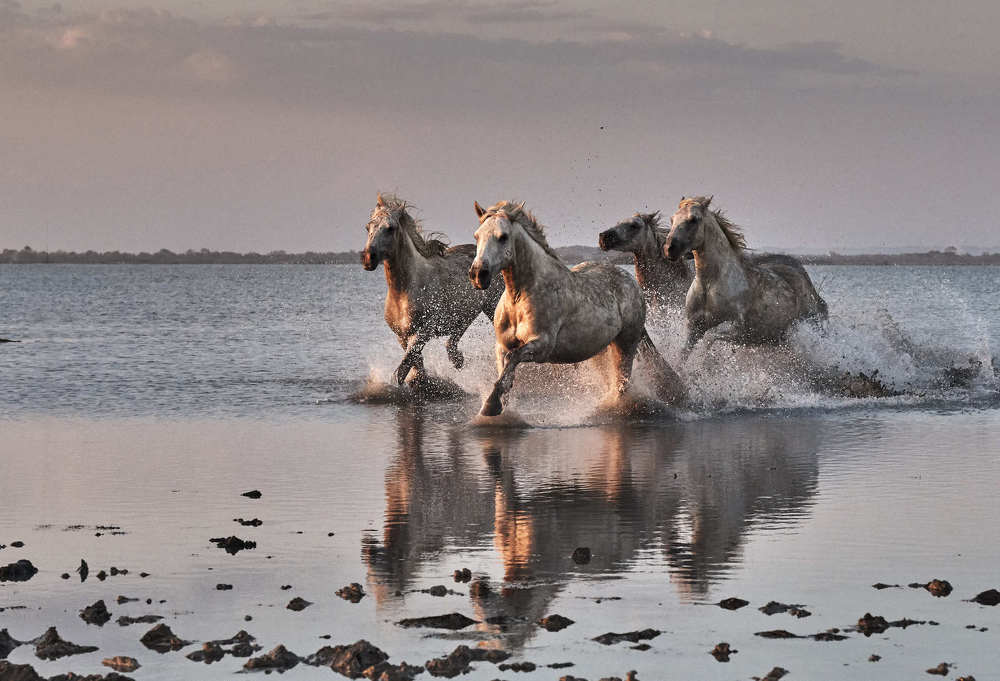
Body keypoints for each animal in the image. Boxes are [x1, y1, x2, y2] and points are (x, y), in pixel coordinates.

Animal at [362, 193, 503, 386]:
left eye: (390, 228)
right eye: (368, 226)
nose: (369, 258)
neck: (403, 291)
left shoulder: (423, 331)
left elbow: (401, 371)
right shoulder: (402, 336)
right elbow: (415, 366)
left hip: (492, 307)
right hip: (467, 312)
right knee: (454, 338)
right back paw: (457, 360)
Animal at [468, 200, 686, 417]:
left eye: (503, 237)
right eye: (477, 236)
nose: (478, 274)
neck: (520, 296)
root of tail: (630, 281)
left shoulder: (542, 346)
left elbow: (513, 358)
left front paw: (491, 405)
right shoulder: (502, 346)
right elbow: (505, 370)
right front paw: (497, 405)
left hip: (626, 344)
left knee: (622, 384)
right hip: (600, 350)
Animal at [663, 195, 828, 352]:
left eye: (693, 219)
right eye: (672, 219)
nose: (670, 248)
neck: (709, 284)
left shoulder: (738, 330)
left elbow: (709, 338)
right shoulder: (694, 328)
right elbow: (682, 354)